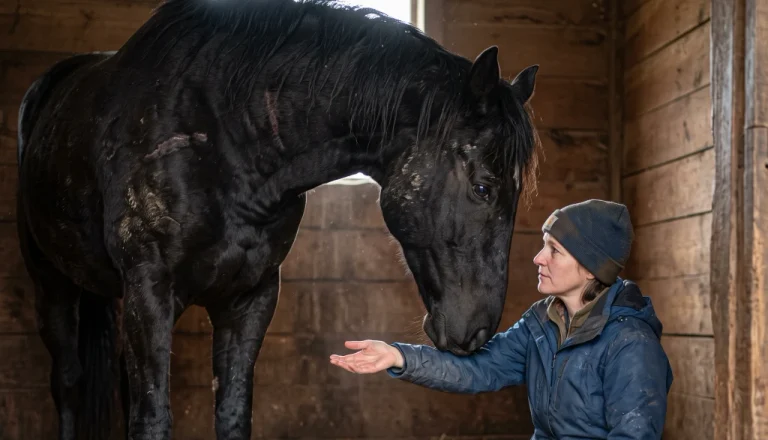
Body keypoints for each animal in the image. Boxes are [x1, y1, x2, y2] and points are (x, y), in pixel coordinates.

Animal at [15, 0, 540, 439]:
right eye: (483, 188)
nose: (478, 333)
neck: (224, 136)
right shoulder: (150, 291)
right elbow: (152, 420)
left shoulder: (251, 298)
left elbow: (232, 413)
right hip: (52, 285)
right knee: (69, 383)